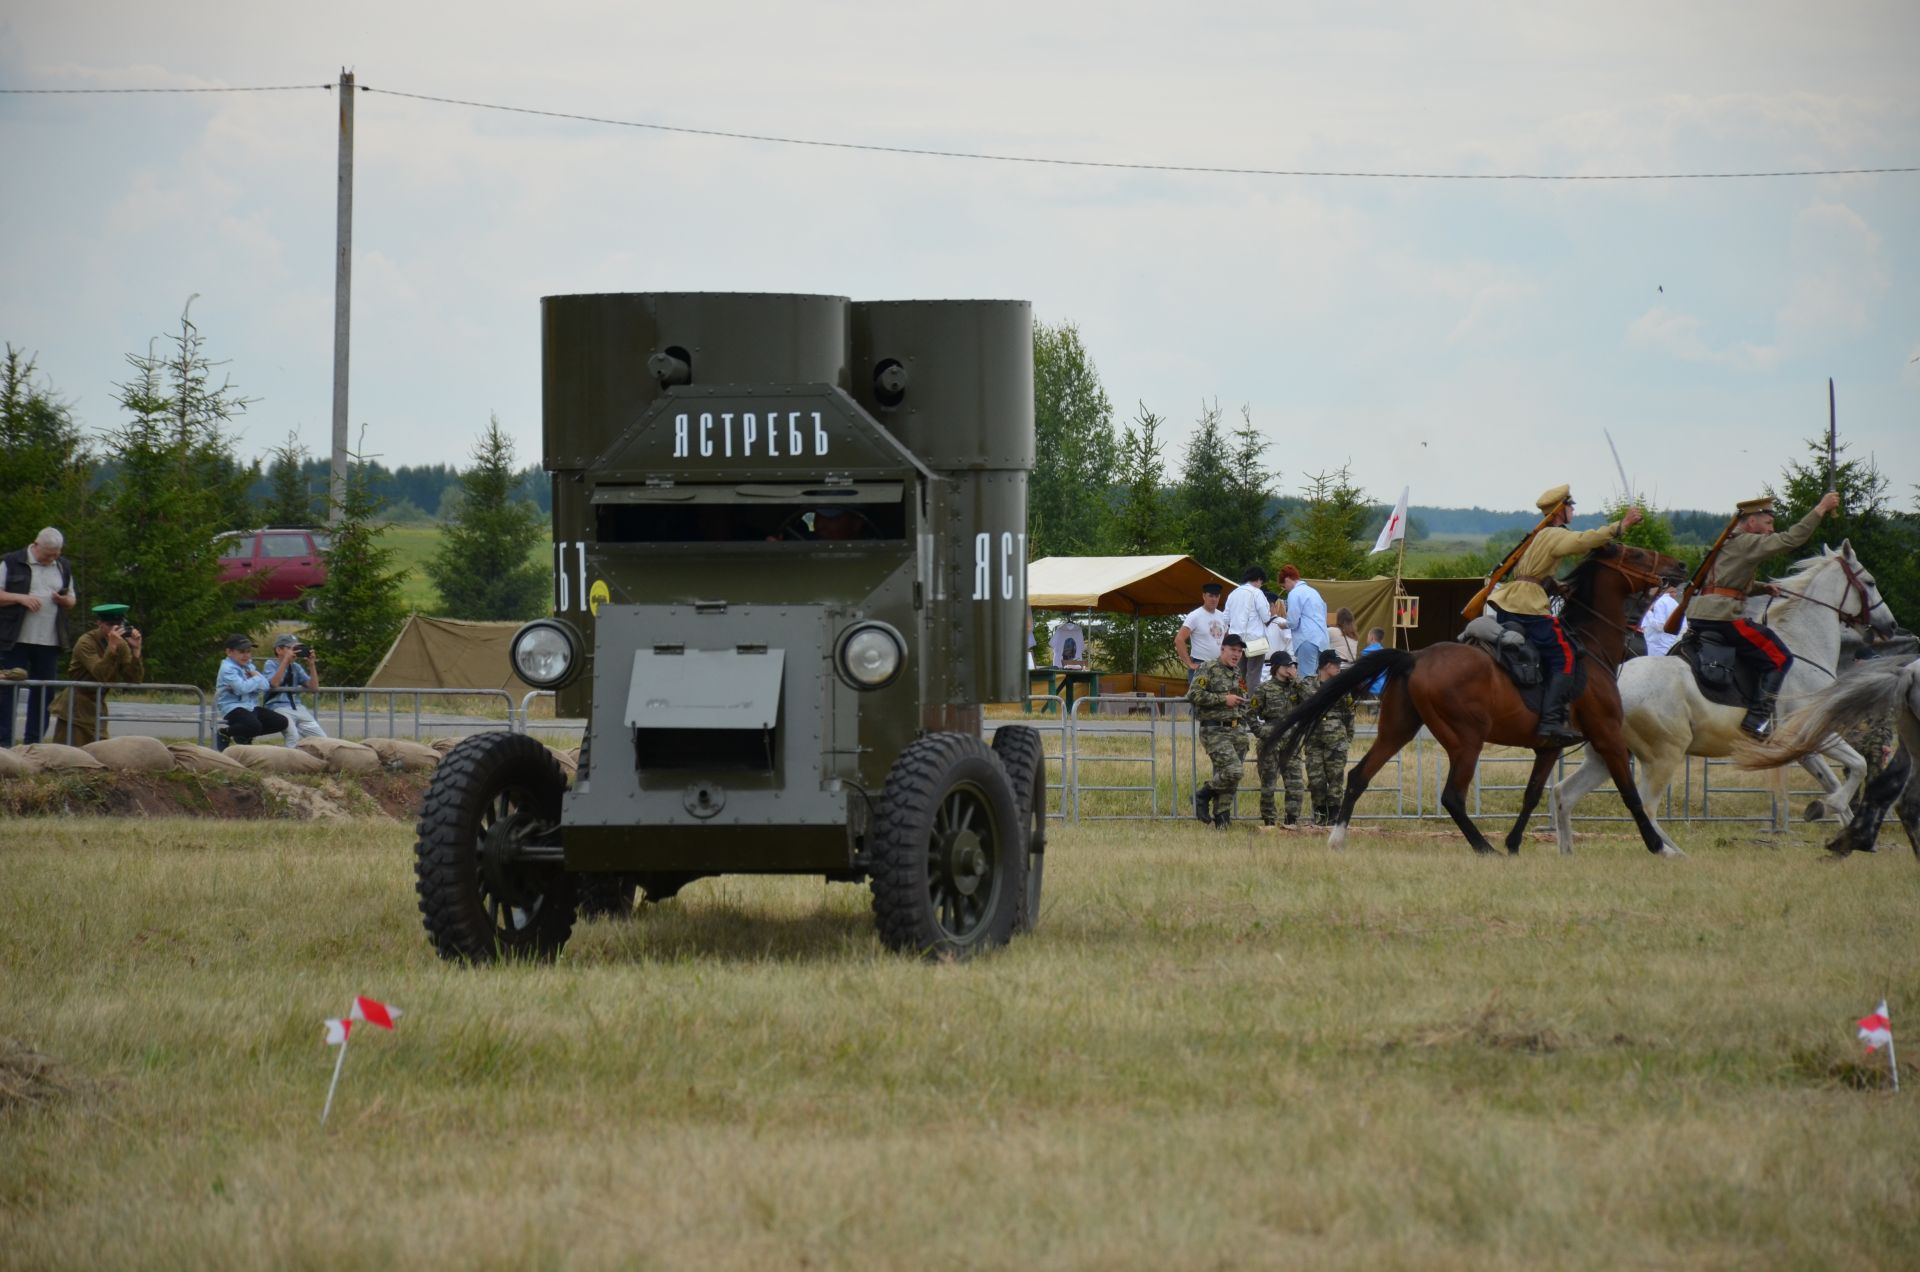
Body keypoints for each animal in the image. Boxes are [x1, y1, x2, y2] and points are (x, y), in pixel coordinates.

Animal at [1267, 541, 1689, 860]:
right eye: (1637, 555)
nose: (1681, 565)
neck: (1591, 647)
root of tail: (1414, 657)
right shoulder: (1608, 737)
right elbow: (1631, 795)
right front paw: (1660, 847)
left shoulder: (1548, 746)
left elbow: (1531, 795)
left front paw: (1515, 844)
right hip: (1466, 740)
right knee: (1452, 796)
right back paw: (1483, 847)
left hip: (1398, 729)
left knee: (1358, 776)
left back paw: (1337, 839)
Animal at [1551, 538, 1896, 856]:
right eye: (1869, 582)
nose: (1890, 626)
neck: (1804, 645)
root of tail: (1613, 682)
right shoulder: (1818, 731)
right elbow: (1858, 766)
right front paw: (1832, 814)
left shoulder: (1802, 747)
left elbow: (1834, 781)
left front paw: (1845, 832)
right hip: (1664, 754)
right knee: (1646, 807)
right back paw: (1674, 853)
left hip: (1608, 753)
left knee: (1564, 794)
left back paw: (1568, 851)